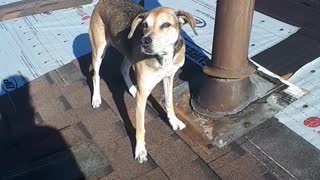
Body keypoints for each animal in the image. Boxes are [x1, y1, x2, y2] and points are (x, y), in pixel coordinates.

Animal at [89, 0, 196, 163]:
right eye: (145, 25)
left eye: (166, 24)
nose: (144, 41)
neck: (163, 58)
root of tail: (102, 2)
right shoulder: (143, 94)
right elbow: (140, 127)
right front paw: (140, 150)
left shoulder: (169, 77)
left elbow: (169, 103)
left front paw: (173, 121)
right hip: (99, 50)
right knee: (96, 76)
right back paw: (96, 98)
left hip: (127, 53)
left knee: (123, 69)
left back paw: (132, 89)